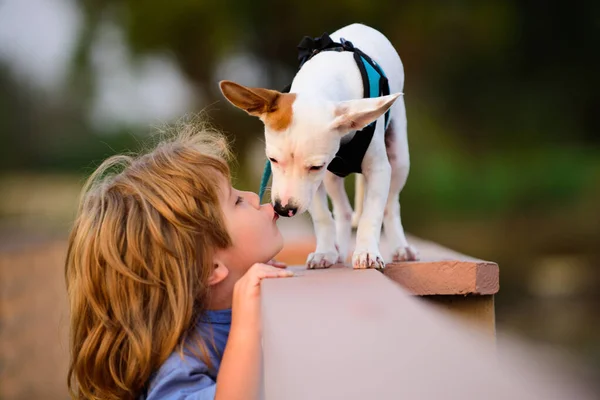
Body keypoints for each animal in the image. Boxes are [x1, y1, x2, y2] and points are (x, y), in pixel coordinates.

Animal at [220, 23, 418, 270]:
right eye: (272, 160)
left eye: (315, 166)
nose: (283, 209)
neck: (321, 83)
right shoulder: (315, 183)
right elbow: (323, 215)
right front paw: (324, 251)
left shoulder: (377, 169)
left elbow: (371, 215)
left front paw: (366, 252)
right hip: (333, 176)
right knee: (343, 211)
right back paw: (338, 250)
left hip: (399, 157)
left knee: (391, 206)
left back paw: (401, 247)